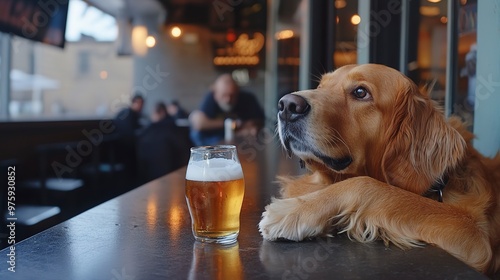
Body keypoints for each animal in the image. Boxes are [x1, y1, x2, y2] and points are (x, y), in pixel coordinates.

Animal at [260, 63, 500, 276]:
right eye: (320, 86)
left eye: (360, 92)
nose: (287, 105)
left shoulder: (474, 235)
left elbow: (368, 185)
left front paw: (294, 210)